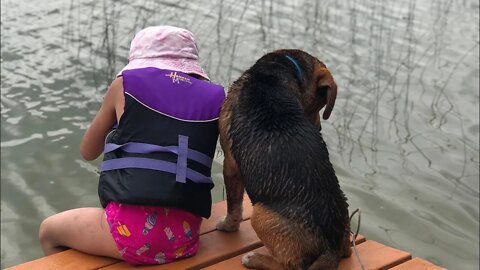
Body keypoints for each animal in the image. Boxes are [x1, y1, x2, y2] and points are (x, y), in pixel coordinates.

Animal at [216, 49, 350, 270]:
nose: (318, 128)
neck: (281, 70)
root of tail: (330, 246)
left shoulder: (231, 165)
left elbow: (234, 207)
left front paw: (227, 227)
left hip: (260, 214)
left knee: (292, 266)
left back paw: (255, 258)